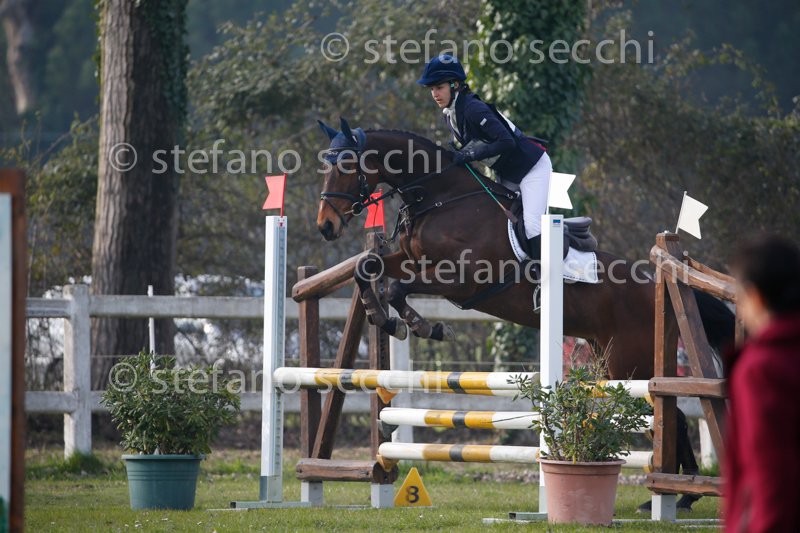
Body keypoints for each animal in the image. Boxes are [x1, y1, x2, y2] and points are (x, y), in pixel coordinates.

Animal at [315, 118, 734, 510]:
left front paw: (420, 326)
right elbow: (367, 267)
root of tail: (656, 283)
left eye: (348, 166)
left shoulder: (462, 280)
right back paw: (670, 496)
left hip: (632, 363)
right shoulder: (408, 258)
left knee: (669, 414)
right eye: (326, 166)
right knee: (661, 416)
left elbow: (396, 288)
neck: (442, 197)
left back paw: (681, 495)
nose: (326, 227)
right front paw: (381, 316)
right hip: (610, 358)